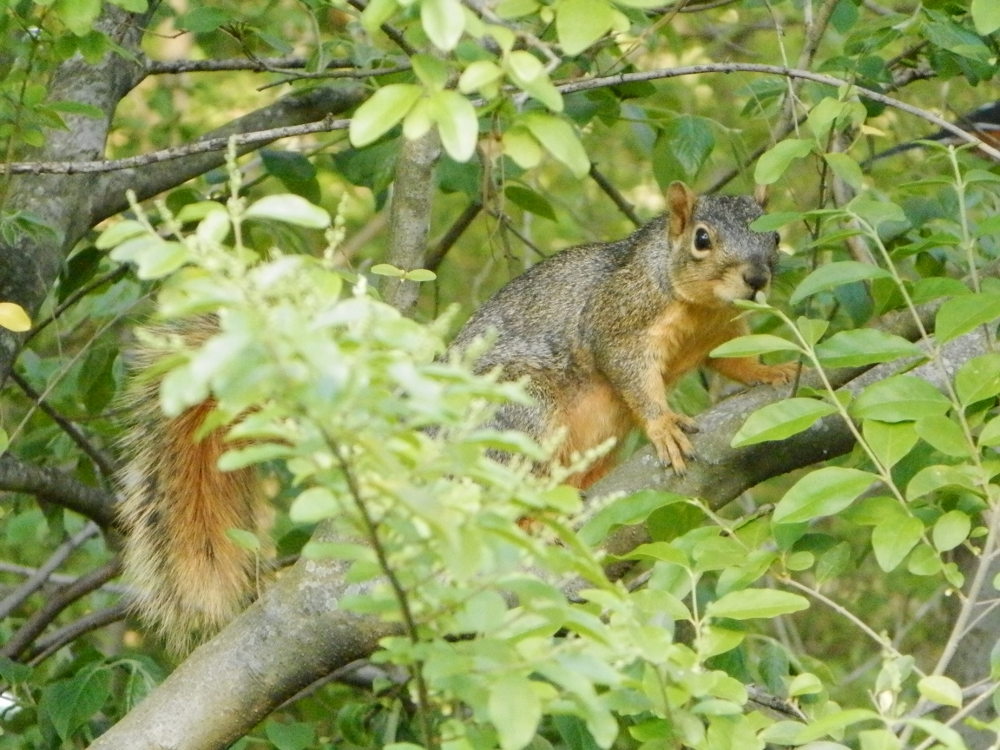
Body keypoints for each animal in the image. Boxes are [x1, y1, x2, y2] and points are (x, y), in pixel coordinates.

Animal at [116, 180, 794, 651]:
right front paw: (663, 425)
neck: (693, 304)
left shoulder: (719, 331)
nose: (757, 279)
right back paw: (532, 518)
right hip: (522, 415)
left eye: (777, 237)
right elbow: (630, 374)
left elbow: (736, 359)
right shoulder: (618, 319)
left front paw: (772, 371)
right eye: (701, 238)